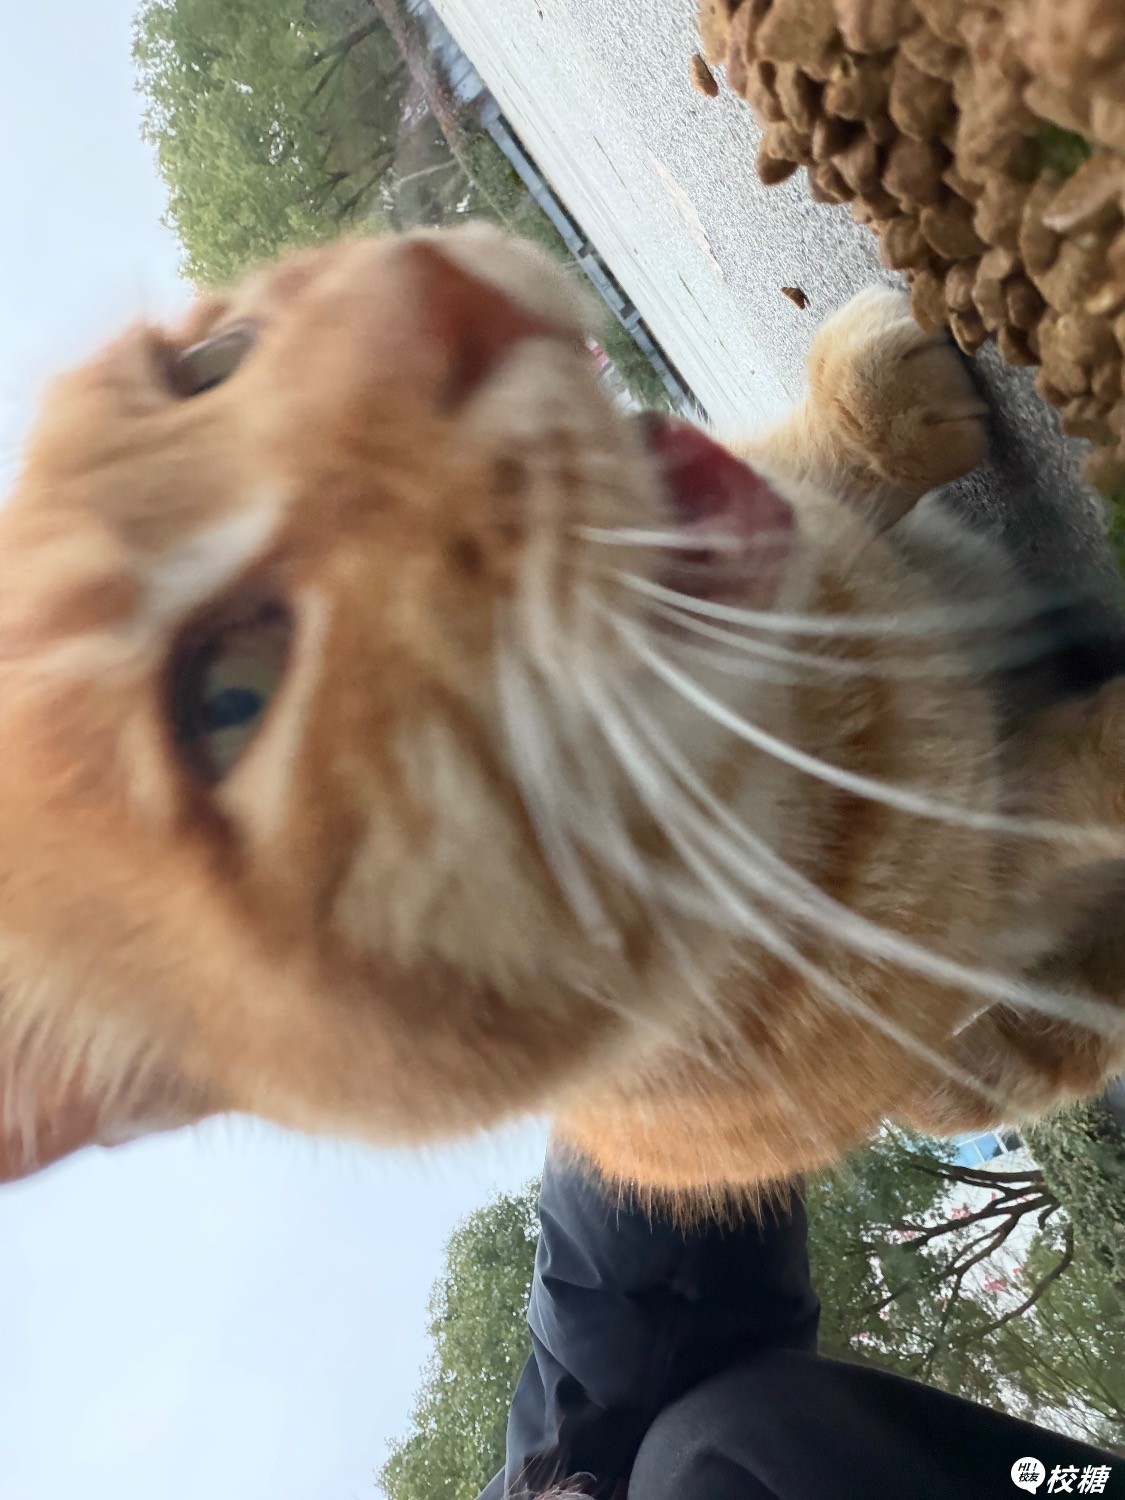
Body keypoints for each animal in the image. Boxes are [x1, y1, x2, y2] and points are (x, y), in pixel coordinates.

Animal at [1, 224, 1123, 1205]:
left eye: (210, 363)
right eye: (230, 699)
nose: (433, 299)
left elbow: (829, 459)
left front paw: (879, 401)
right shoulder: (987, 873)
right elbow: (1071, 780)